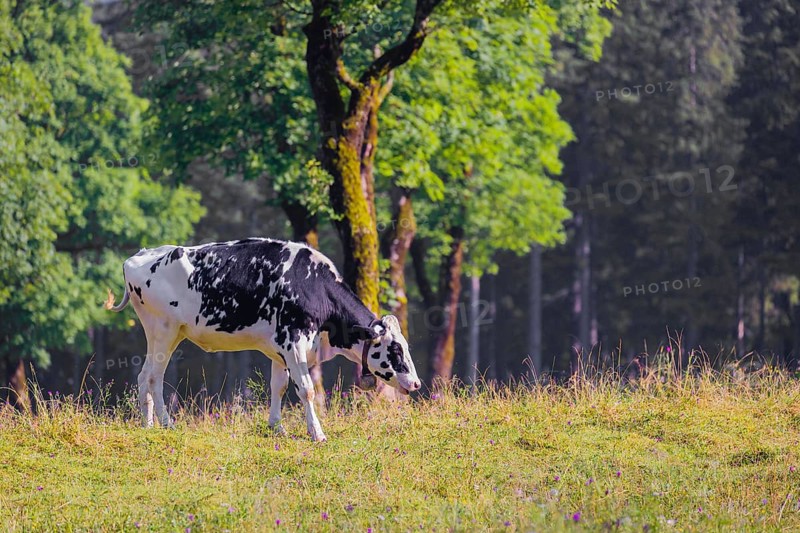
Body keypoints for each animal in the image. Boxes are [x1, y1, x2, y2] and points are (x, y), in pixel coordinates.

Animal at [104, 238, 421, 441]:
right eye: (394, 350)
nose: (417, 383)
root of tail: (140, 255)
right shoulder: (294, 343)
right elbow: (306, 389)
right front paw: (317, 433)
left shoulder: (279, 349)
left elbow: (278, 386)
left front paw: (277, 428)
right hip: (165, 330)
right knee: (155, 377)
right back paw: (167, 423)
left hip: (162, 334)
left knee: (144, 375)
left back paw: (147, 426)